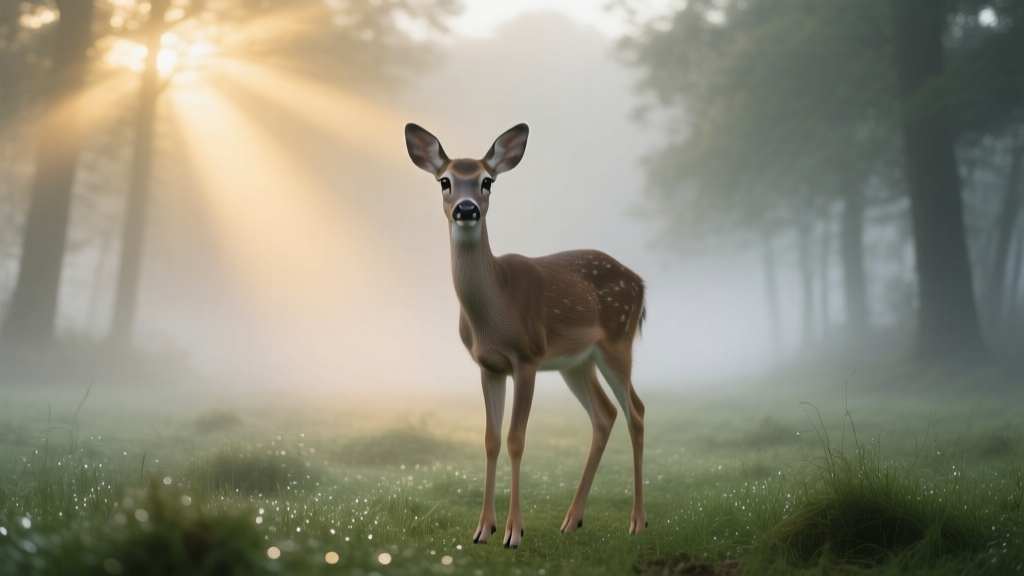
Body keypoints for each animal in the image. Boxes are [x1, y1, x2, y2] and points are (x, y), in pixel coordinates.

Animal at [404, 123, 647, 549]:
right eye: (444, 181)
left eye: (487, 181)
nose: (466, 209)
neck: (494, 310)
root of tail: (641, 282)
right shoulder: (488, 365)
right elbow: (490, 439)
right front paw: (483, 529)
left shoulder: (528, 357)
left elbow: (516, 439)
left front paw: (514, 532)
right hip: (577, 363)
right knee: (606, 414)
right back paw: (572, 520)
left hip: (617, 342)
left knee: (637, 411)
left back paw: (637, 522)